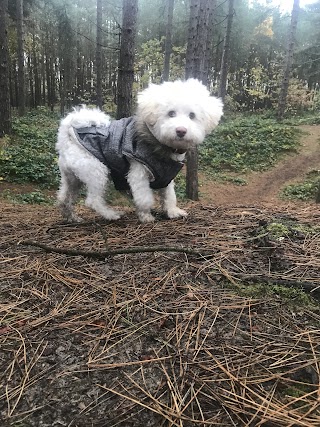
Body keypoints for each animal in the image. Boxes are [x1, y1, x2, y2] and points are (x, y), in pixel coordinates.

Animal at [55, 79, 222, 224]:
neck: (160, 145)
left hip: (72, 177)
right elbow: (144, 198)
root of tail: (67, 134)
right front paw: (146, 216)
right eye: (171, 113)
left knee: (64, 198)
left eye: (192, 115)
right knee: (93, 200)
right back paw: (111, 214)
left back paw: (72, 217)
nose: (181, 131)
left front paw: (172, 211)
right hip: (96, 171)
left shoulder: (166, 176)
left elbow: (169, 196)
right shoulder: (139, 173)